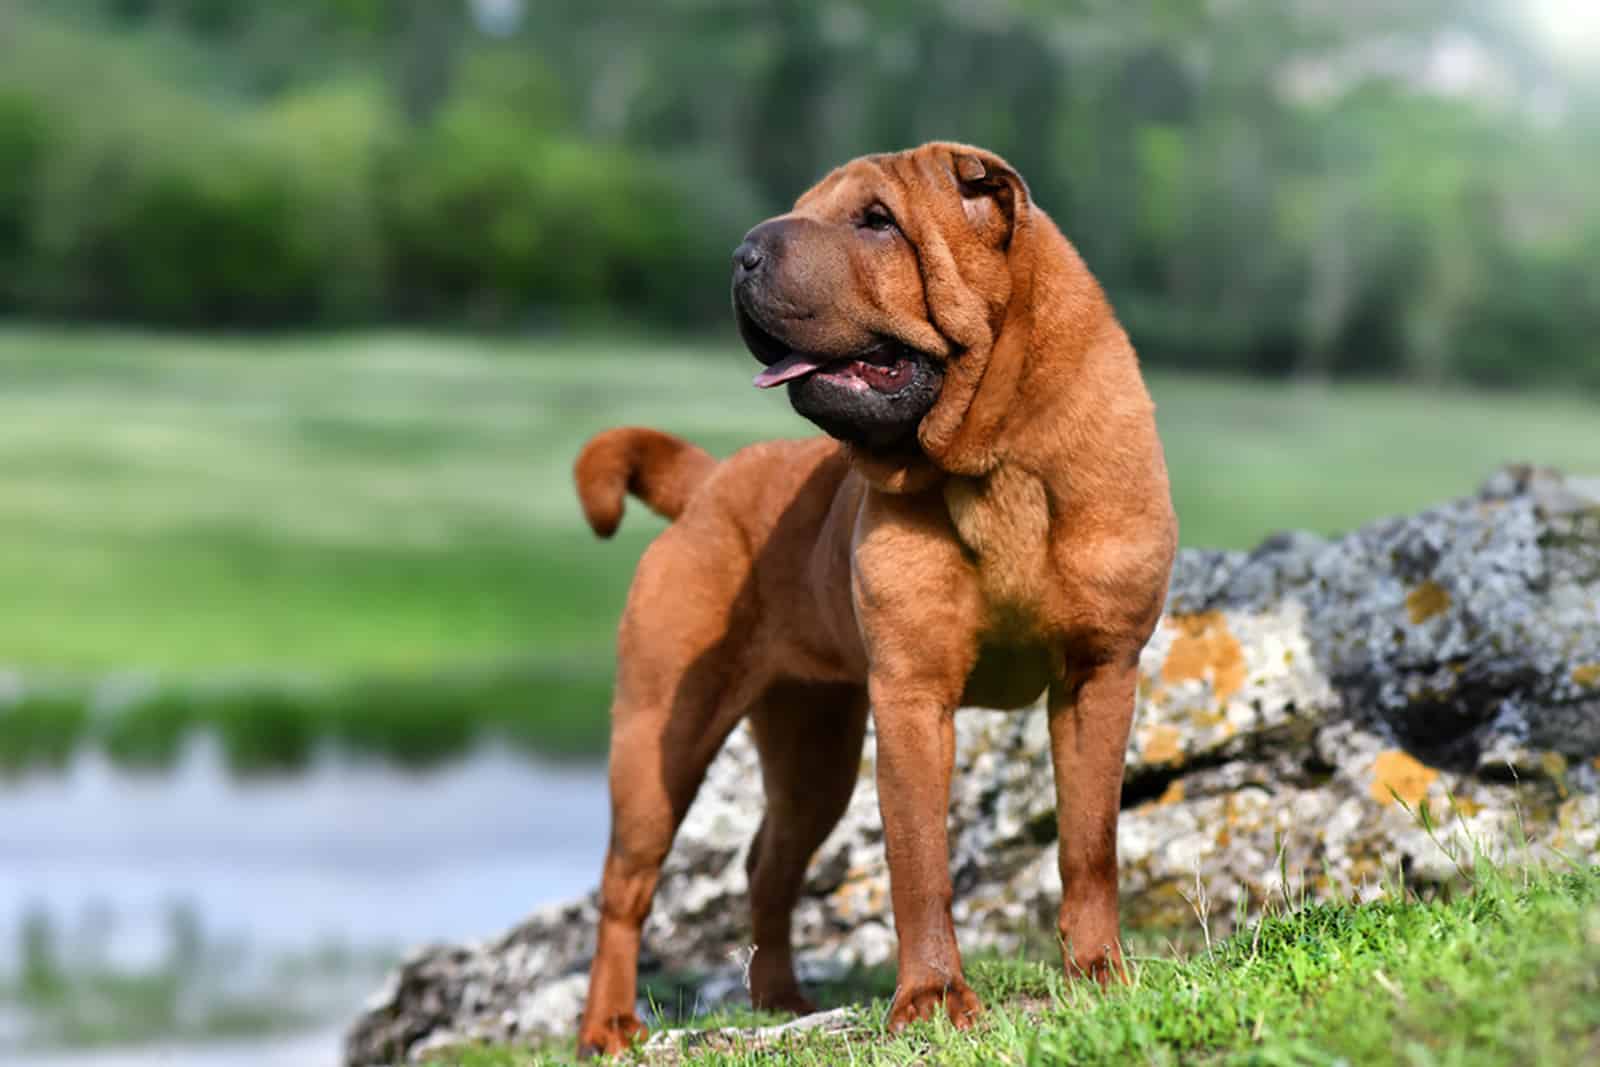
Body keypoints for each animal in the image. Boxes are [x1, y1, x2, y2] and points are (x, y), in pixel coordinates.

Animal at [572, 143, 1177, 1062]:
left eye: (877, 221)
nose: (743, 253)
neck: (995, 460)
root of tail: (709, 482)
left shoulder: (1098, 674)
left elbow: (1090, 842)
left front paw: (1097, 971)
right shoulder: (913, 695)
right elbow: (920, 863)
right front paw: (931, 1000)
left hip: (812, 744)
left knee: (768, 863)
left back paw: (780, 998)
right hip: (659, 740)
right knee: (625, 886)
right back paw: (608, 1025)